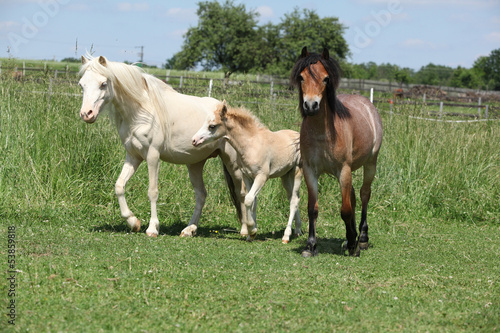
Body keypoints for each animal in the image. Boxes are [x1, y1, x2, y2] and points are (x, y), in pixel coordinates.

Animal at [76, 55, 246, 236]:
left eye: (103, 83)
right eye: (81, 84)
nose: (86, 114)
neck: (140, 112)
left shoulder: (153, 156)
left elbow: (152, 192)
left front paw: (152, 228)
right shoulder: (133, 156)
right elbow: (119, 186)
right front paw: (133, 222)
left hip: (233, 164)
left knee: (241, 191)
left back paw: (245, 230)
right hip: (195, 164)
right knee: (201, 195)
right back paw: (189, 229)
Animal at [191, 100, 300, 243]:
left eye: (212, 126)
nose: (194, 140)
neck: (250, 145)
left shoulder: (262, 176)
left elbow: (248, 199)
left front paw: (252, 230)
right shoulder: (247, 176)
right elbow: (252, 200)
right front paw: (251, 234)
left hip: (297, 172)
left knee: (294, 201)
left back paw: (286, 236)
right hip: (285, 175)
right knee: (292, 198)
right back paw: (298, 231)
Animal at [290, 46, 382, 255]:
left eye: (326, 79)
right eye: (301, 77)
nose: (311, 106)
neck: (323, 134)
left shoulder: (343, 170)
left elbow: (345, 210)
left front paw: (353, 244)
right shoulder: (310, 170)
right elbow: (312, 208)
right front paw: (311, 245)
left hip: (370, 164)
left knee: (364, 195)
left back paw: (362, 238)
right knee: (354, 197)